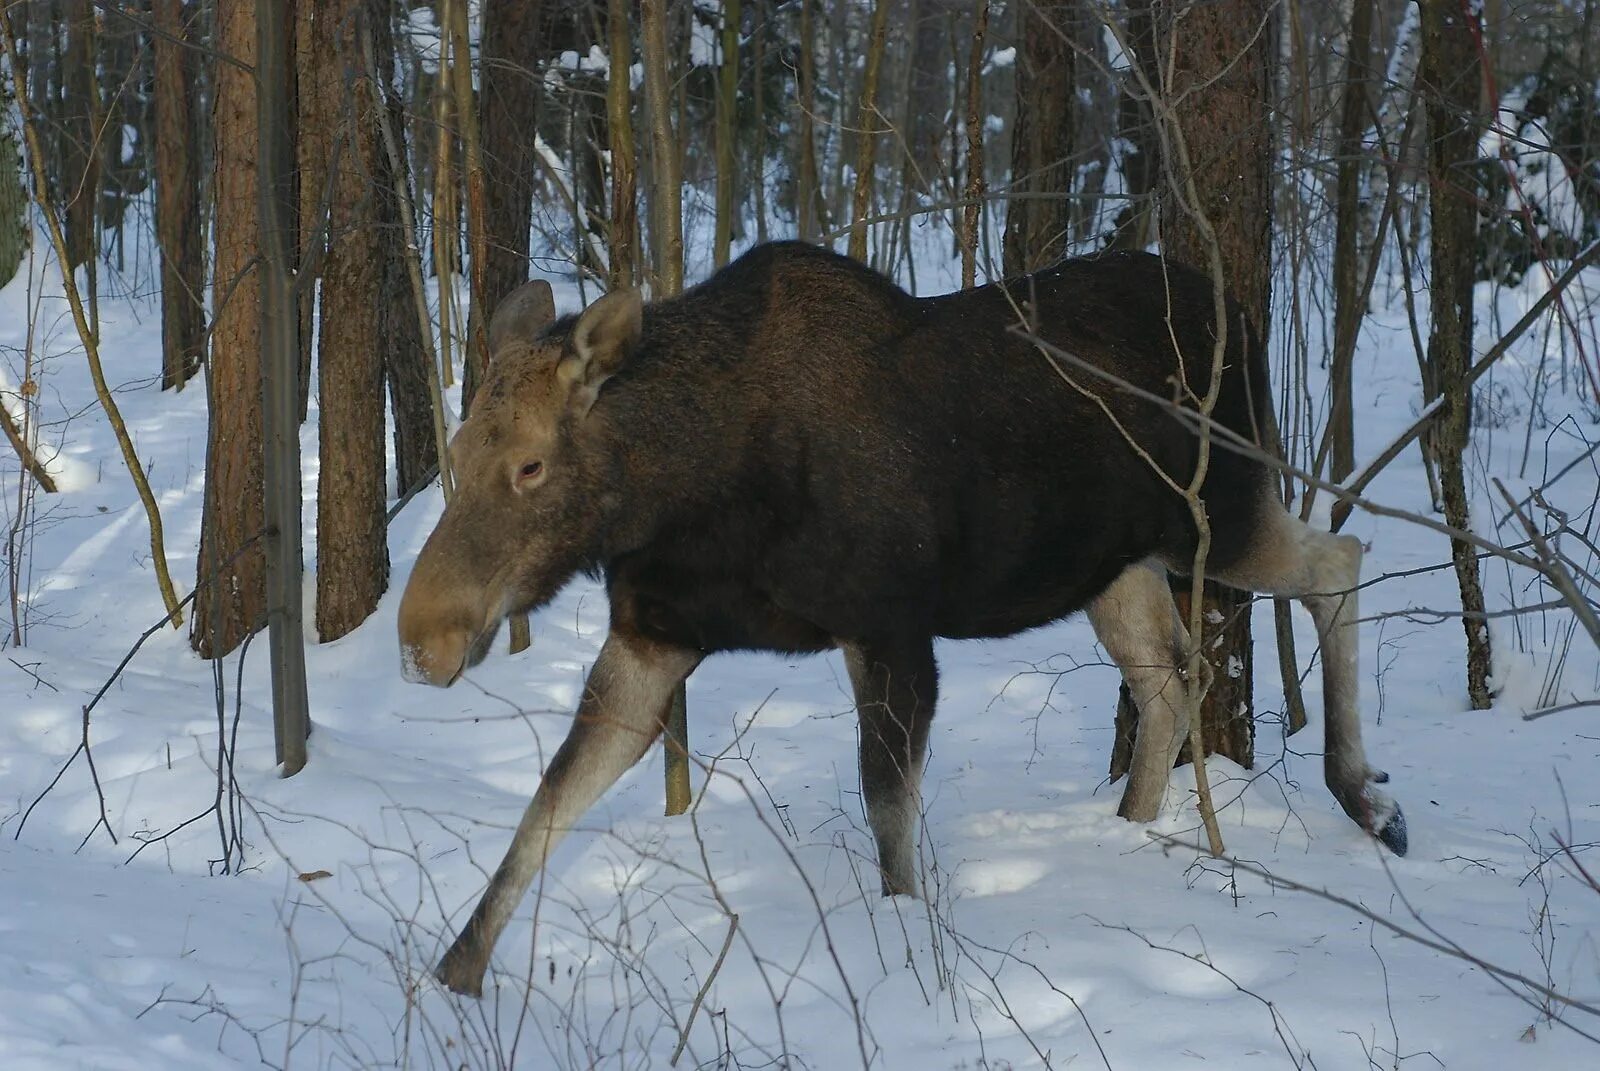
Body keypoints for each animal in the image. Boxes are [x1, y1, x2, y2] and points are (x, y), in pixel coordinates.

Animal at [396, 240, 1401, 992]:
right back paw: (1130, 829)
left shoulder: (889, 626)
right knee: (1171, 671)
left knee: (1339, 557)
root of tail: (1240, 311)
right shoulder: (656, 633)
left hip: (1218, 510)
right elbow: (549, 796)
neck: (688, 492)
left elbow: (886, 808)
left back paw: (1365, 795)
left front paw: (911, 949)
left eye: (531, 464)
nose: (421, 638)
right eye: (456, 449)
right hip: (1113, 565)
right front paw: (456, 969)